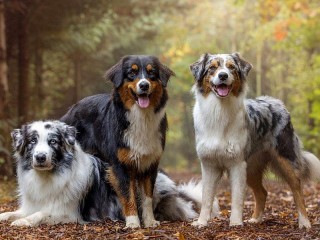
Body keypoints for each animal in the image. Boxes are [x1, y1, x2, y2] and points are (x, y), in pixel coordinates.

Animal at [0, 120, 205, 227]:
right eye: (32, 141)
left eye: (53, 142)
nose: (41, 157)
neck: (48, 177)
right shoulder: (31, 205)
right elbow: (12, 213)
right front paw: (9, 217)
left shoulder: (68, 213)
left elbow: (41, 214)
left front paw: (23, 222)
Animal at [60, 54, 175, 229]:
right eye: (132, 73)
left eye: (152, 73)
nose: (144, 85)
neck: (141, 117)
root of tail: (72, 109)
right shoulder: (120, 164)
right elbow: (128, 195)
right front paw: (133, 222)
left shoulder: (149, 163)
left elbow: (147, 197)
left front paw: (149, 221)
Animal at [190, 52, 320, 229]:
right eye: (212, 68)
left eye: (231, 68)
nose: (223, 75)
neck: (219, 111)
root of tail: (277, 102)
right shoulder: (209, 164)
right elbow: (206, 197)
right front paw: (201, 222)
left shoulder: (237, 164)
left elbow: (237, 198)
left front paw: (235, 223)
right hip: (251, 167)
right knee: (262, 192)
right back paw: (256, 219)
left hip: (286, 160)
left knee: (297, 190)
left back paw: (304, 222)